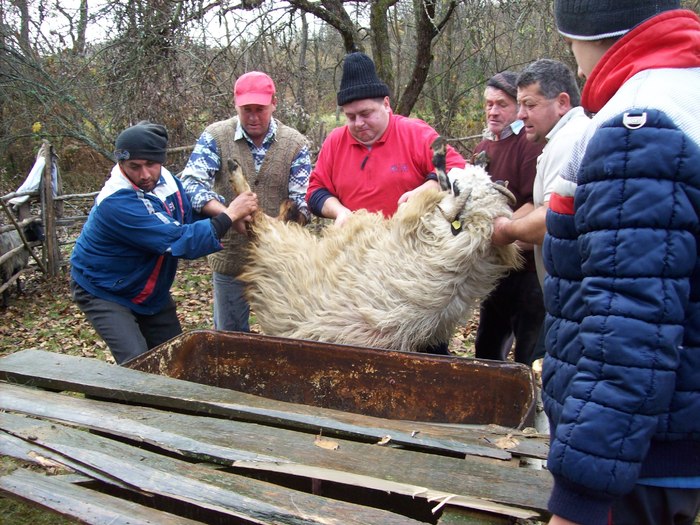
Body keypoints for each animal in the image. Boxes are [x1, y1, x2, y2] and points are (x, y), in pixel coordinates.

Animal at [234, 138, 520, 352]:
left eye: (459, 188)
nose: (482, 156)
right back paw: (287, 205)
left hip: (282, 246)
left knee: (259, 217)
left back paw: (244, 177)